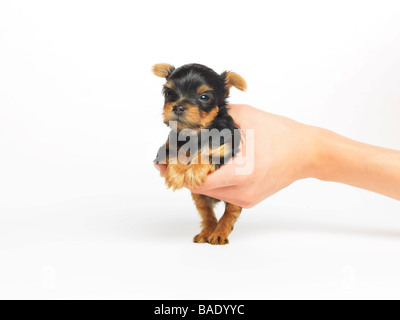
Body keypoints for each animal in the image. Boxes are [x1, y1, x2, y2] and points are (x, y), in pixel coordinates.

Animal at [154, 63, 245, 245]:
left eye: (204, 97)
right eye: (169, 93)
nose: (178, 107)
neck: (195, 133)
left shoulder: (227, 151)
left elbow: (208, 154)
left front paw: (194, 171)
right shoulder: (164, 150)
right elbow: (175, 152)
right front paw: (176, 174)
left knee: (230, 213)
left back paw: (219, 234)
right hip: (199, 197)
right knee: (207, 214)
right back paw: (207, 232)